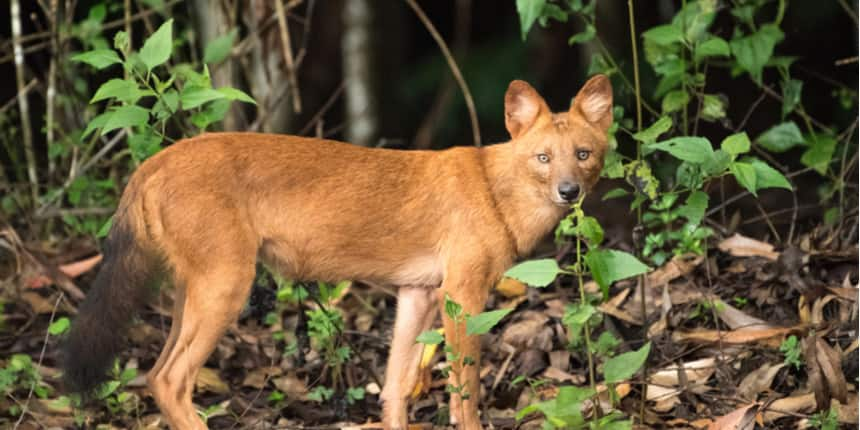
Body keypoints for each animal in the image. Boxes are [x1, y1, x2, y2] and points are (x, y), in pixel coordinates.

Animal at [65, 75, 612, 428]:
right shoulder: (463, 295)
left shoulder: (418, 294)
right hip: (226, 289)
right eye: (543, 158)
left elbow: (395, 389)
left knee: (154, 375)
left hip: (192, 293)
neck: (496, 190)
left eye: (583, 155)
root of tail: (154, 160)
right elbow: (466, 393)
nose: (568, 192)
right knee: (170, 380)